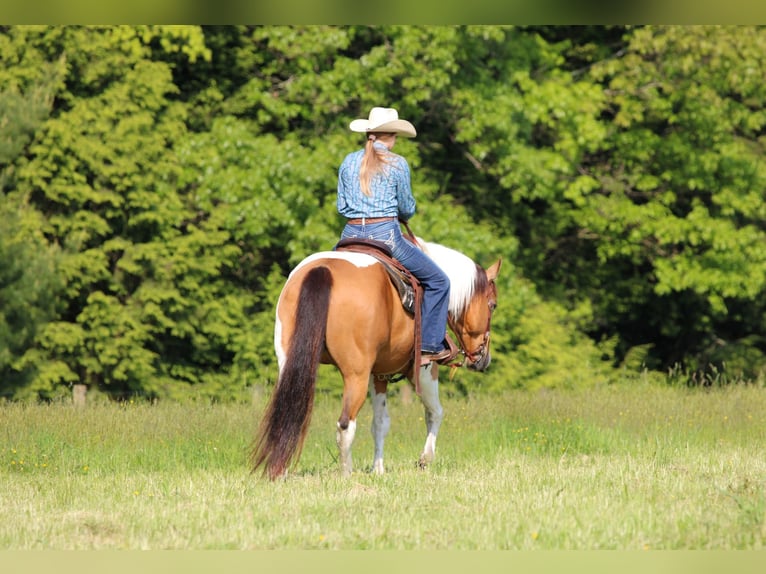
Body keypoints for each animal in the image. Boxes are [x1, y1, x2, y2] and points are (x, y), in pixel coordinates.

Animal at [251, 238, 501, 479]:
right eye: (493, 305)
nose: (483, 359)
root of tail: (323, 269)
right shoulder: (424, 369)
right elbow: (435, 412)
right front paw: (425, 459)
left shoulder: (379, 374)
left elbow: (380, 423)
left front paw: (378, 469)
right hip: (356, 375)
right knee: (345, 424)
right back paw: (346, 474)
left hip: (289, 363)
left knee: (286, 411)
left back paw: (280, 471)